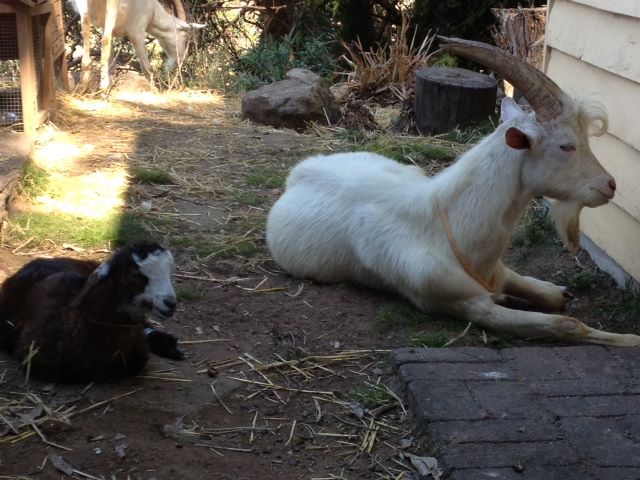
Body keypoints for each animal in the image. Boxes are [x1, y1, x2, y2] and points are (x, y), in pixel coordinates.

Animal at [70, 0, 205, 91]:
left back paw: (83, 84)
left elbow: (111, 60)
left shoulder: (106, 26)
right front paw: (153, 89)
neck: (153, 9)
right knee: (104, 40)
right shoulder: (137, 33)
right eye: (186, 38)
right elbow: (146, 67)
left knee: (86, 33)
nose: (181, 60)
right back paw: (102, 86)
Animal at [266, 36, 640, 344]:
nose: (609, 185)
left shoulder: (497, 271)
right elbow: (566, 323)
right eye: (566, 146)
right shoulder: (463, 304)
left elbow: (553, 295)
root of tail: (300, 170)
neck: (448, 230)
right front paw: (628, 340)